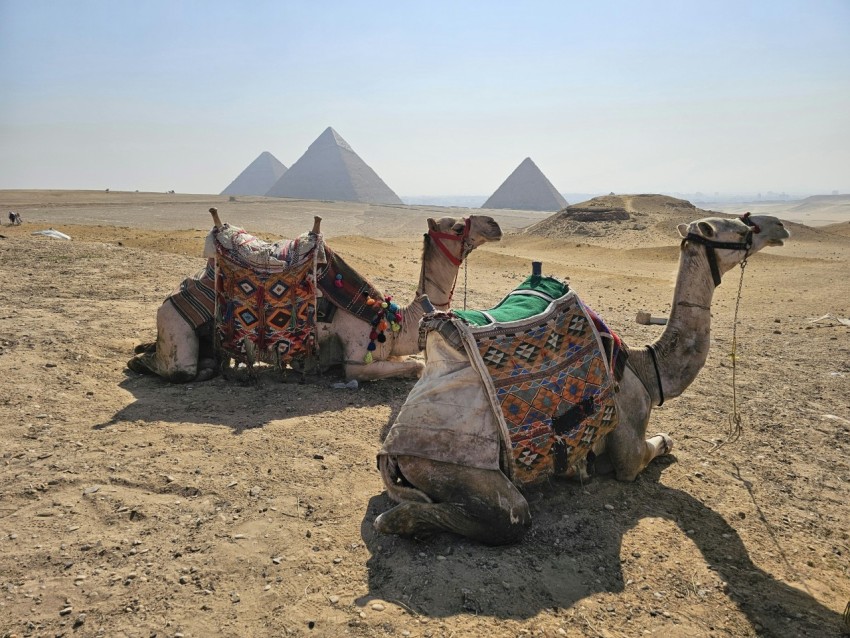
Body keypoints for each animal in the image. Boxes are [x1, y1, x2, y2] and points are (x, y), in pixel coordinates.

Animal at [128, 213, 502, 383]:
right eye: (457, 227)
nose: (494, 224)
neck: (393, 320)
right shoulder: (357, 359)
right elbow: (418, 365)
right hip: (175, 328)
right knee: (178, 369)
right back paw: (144, 361)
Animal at [375, 214, 790, 545]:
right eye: (741, 228)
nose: (780, 227)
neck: (648, 371)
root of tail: (390, 452)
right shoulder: (628, 445)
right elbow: (650, 450)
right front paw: (664, 442)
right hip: (460, 469)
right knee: (507, 518)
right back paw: (399, 521)